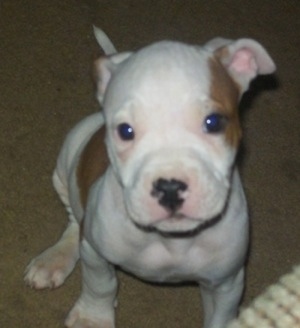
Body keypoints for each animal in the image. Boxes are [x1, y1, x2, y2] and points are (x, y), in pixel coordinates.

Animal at [24, 28, 276, 328]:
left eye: (214, 122)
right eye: (125, 130)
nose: (170, 188)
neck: (171, 239)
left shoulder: (226, 283)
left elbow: (220, 317)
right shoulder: (96, 255)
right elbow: (101, 284)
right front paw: (92, 317)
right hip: (67, 163)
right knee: (75, 221)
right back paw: (54, 258)